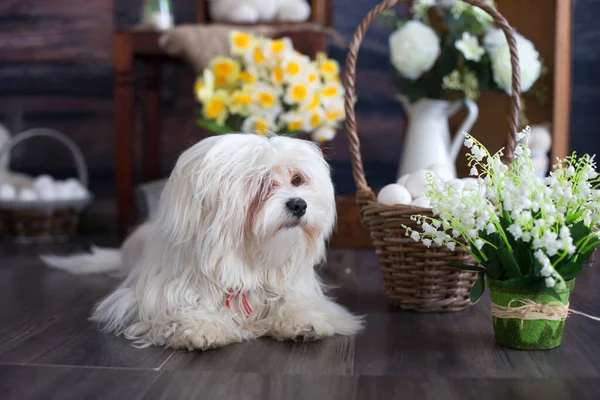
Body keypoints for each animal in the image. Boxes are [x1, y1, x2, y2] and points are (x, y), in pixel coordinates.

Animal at [43, 134, 360, 350]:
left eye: (297, 179)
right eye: (260, 184)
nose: (299, 204)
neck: (246, 263)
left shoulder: (293, 287)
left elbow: (297, 302)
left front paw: (302, 320)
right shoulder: (148, 297)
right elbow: (177, 309)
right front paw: (199, 326)